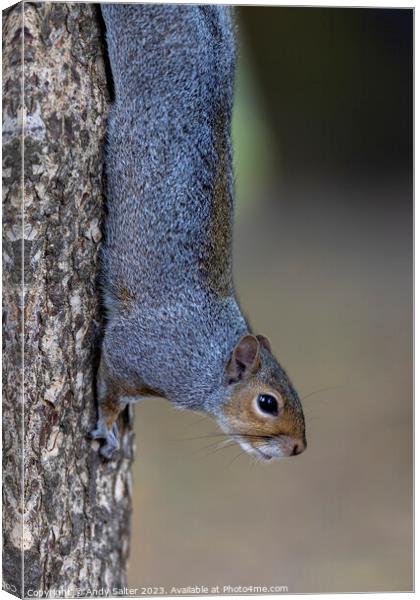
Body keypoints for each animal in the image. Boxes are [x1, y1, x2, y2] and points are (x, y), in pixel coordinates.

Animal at [90, 4, 306, 460]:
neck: (209, 356)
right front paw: (107, 428)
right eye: (268, 402)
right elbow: (110, 390)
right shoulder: (137, 352)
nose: (299, 447)